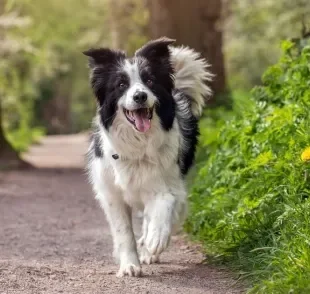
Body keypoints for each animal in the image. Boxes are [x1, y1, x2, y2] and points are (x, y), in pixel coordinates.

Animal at [83, 38, 212, 276]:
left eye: (150, 80)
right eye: (121, 85)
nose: (140, 96)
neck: (139, 145)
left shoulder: (170, 186)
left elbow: (164, 204)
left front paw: (155, 240)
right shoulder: (112, 195)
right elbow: (124, 233)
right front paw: (129, 265)